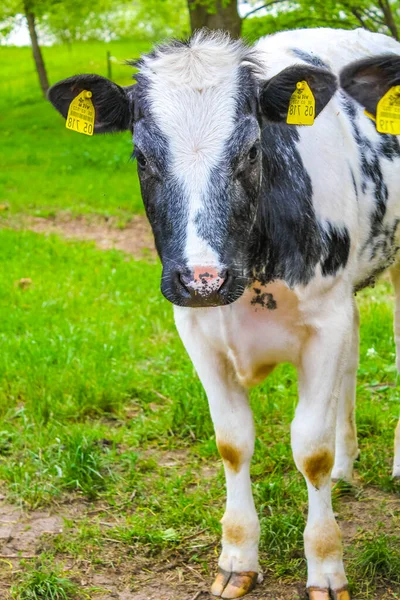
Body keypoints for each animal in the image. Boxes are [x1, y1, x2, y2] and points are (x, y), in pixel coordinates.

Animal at [49, 27, 400, 600]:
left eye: (252, 148)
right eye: (140, 157)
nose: (202, 277)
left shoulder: (324, 317)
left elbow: (311, 450)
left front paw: (326, 565)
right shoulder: (195, 325)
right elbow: (233, 442)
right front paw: (237, 558)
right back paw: (348, 465)